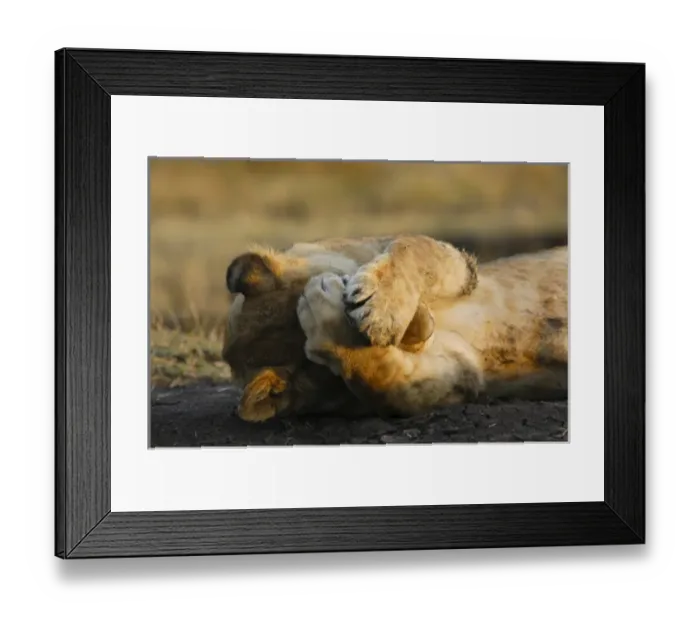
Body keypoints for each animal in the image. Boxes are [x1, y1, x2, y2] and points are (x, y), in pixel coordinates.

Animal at [222, 235, 567, 422]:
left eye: (345, 282)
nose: (426, 328)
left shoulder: (462, 266)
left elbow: (410, 247)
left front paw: (380, 310)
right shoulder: (457, 376)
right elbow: (380, 379)